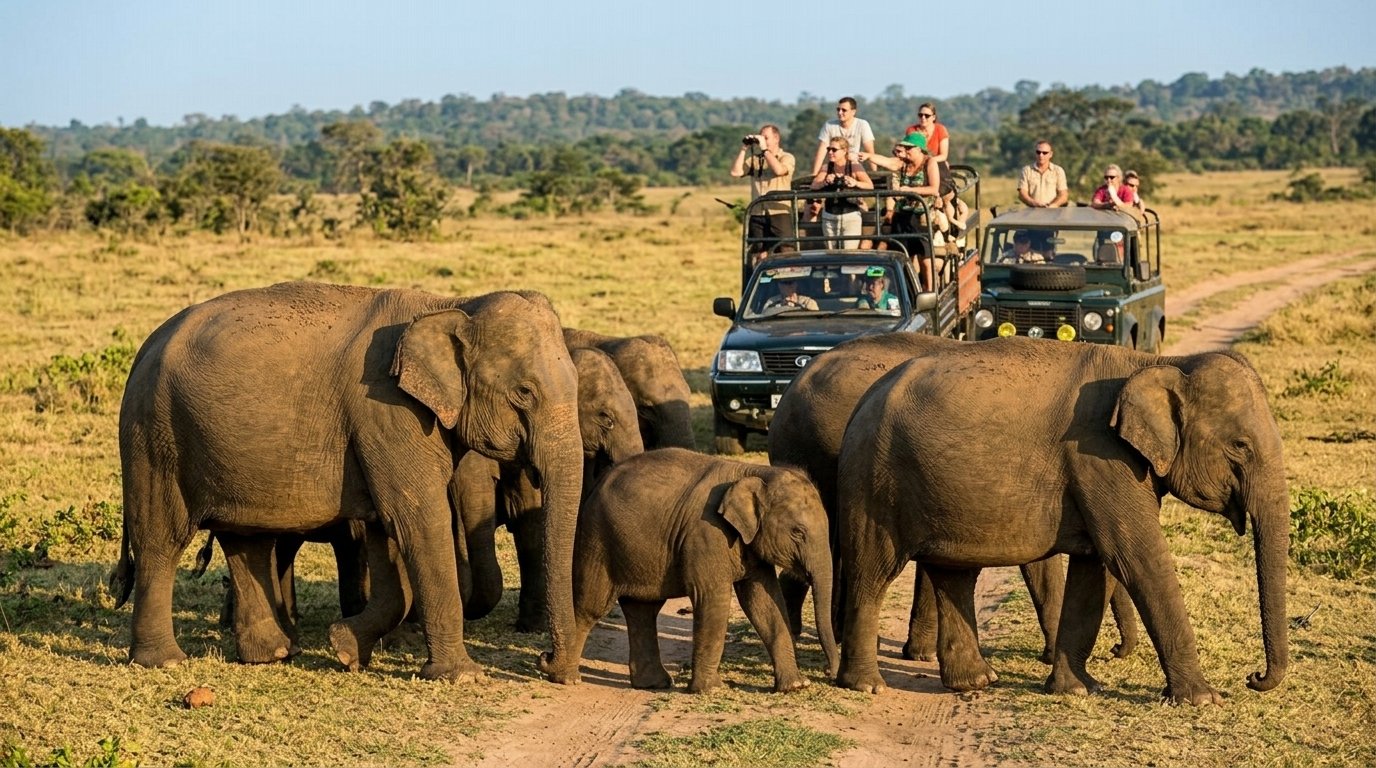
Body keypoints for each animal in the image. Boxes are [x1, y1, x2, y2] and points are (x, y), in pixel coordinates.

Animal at [110, 281, 586, 682]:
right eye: (524, 393)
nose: (547, 664)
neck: (451, 304)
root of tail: (145, 347)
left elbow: (385, 534)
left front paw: (345, 649)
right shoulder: (387, 412)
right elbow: (416, 521)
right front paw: (461, 676)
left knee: (247, 542)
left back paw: (275, 655)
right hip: (154, 435)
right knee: (161, 539)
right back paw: (165, 662)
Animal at [538, 448, 839, 693]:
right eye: (798, 532)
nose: (829, 674)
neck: (752, 472)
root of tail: (596, 484)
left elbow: (765, 603)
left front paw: (796, 686)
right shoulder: (706, 533)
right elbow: (713, 598)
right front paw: (712, 690)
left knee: (642, 611)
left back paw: (653, 684)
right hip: (598, 540)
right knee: (591, 606)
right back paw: (566, 678)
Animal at [834, 337, 1289, 705]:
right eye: (1240, 446)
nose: (1253, 678)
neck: (1157, 362)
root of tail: (862, 404)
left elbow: (1096, 569)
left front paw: (1076, 689)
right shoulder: (1100, 458)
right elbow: (1135, 557)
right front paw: (1202, 699)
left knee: (954, 575)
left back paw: (977, 682)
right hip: (874, 482)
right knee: (872, 572)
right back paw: (867, 685)